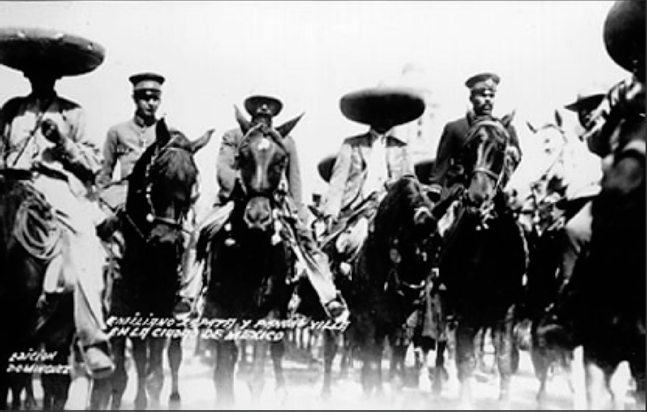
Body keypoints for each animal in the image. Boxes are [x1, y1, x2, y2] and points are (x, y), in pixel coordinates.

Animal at [90, 118, 211, 408]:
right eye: (156, 172)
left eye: (193, 179)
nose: (166, 240)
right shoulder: (120, 318)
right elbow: (120, 376)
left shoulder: (161, 314)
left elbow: (154, 374)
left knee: (173, 357)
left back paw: (174, 397)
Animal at [200, 108, 304, 408]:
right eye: (241, 156)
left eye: (281, 161)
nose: (257, 219)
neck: (251, 253)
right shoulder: (219, 310)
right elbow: (224, 371)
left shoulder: (269, 313)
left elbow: (257, 375)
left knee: (277, 352)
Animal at [436, 116, 532, 408]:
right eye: (467, 146)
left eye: (502, 147)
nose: (478, 197)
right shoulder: (465, 304)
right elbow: (464, 356)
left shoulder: (507, 308)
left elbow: (504, 359)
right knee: (446, 342)